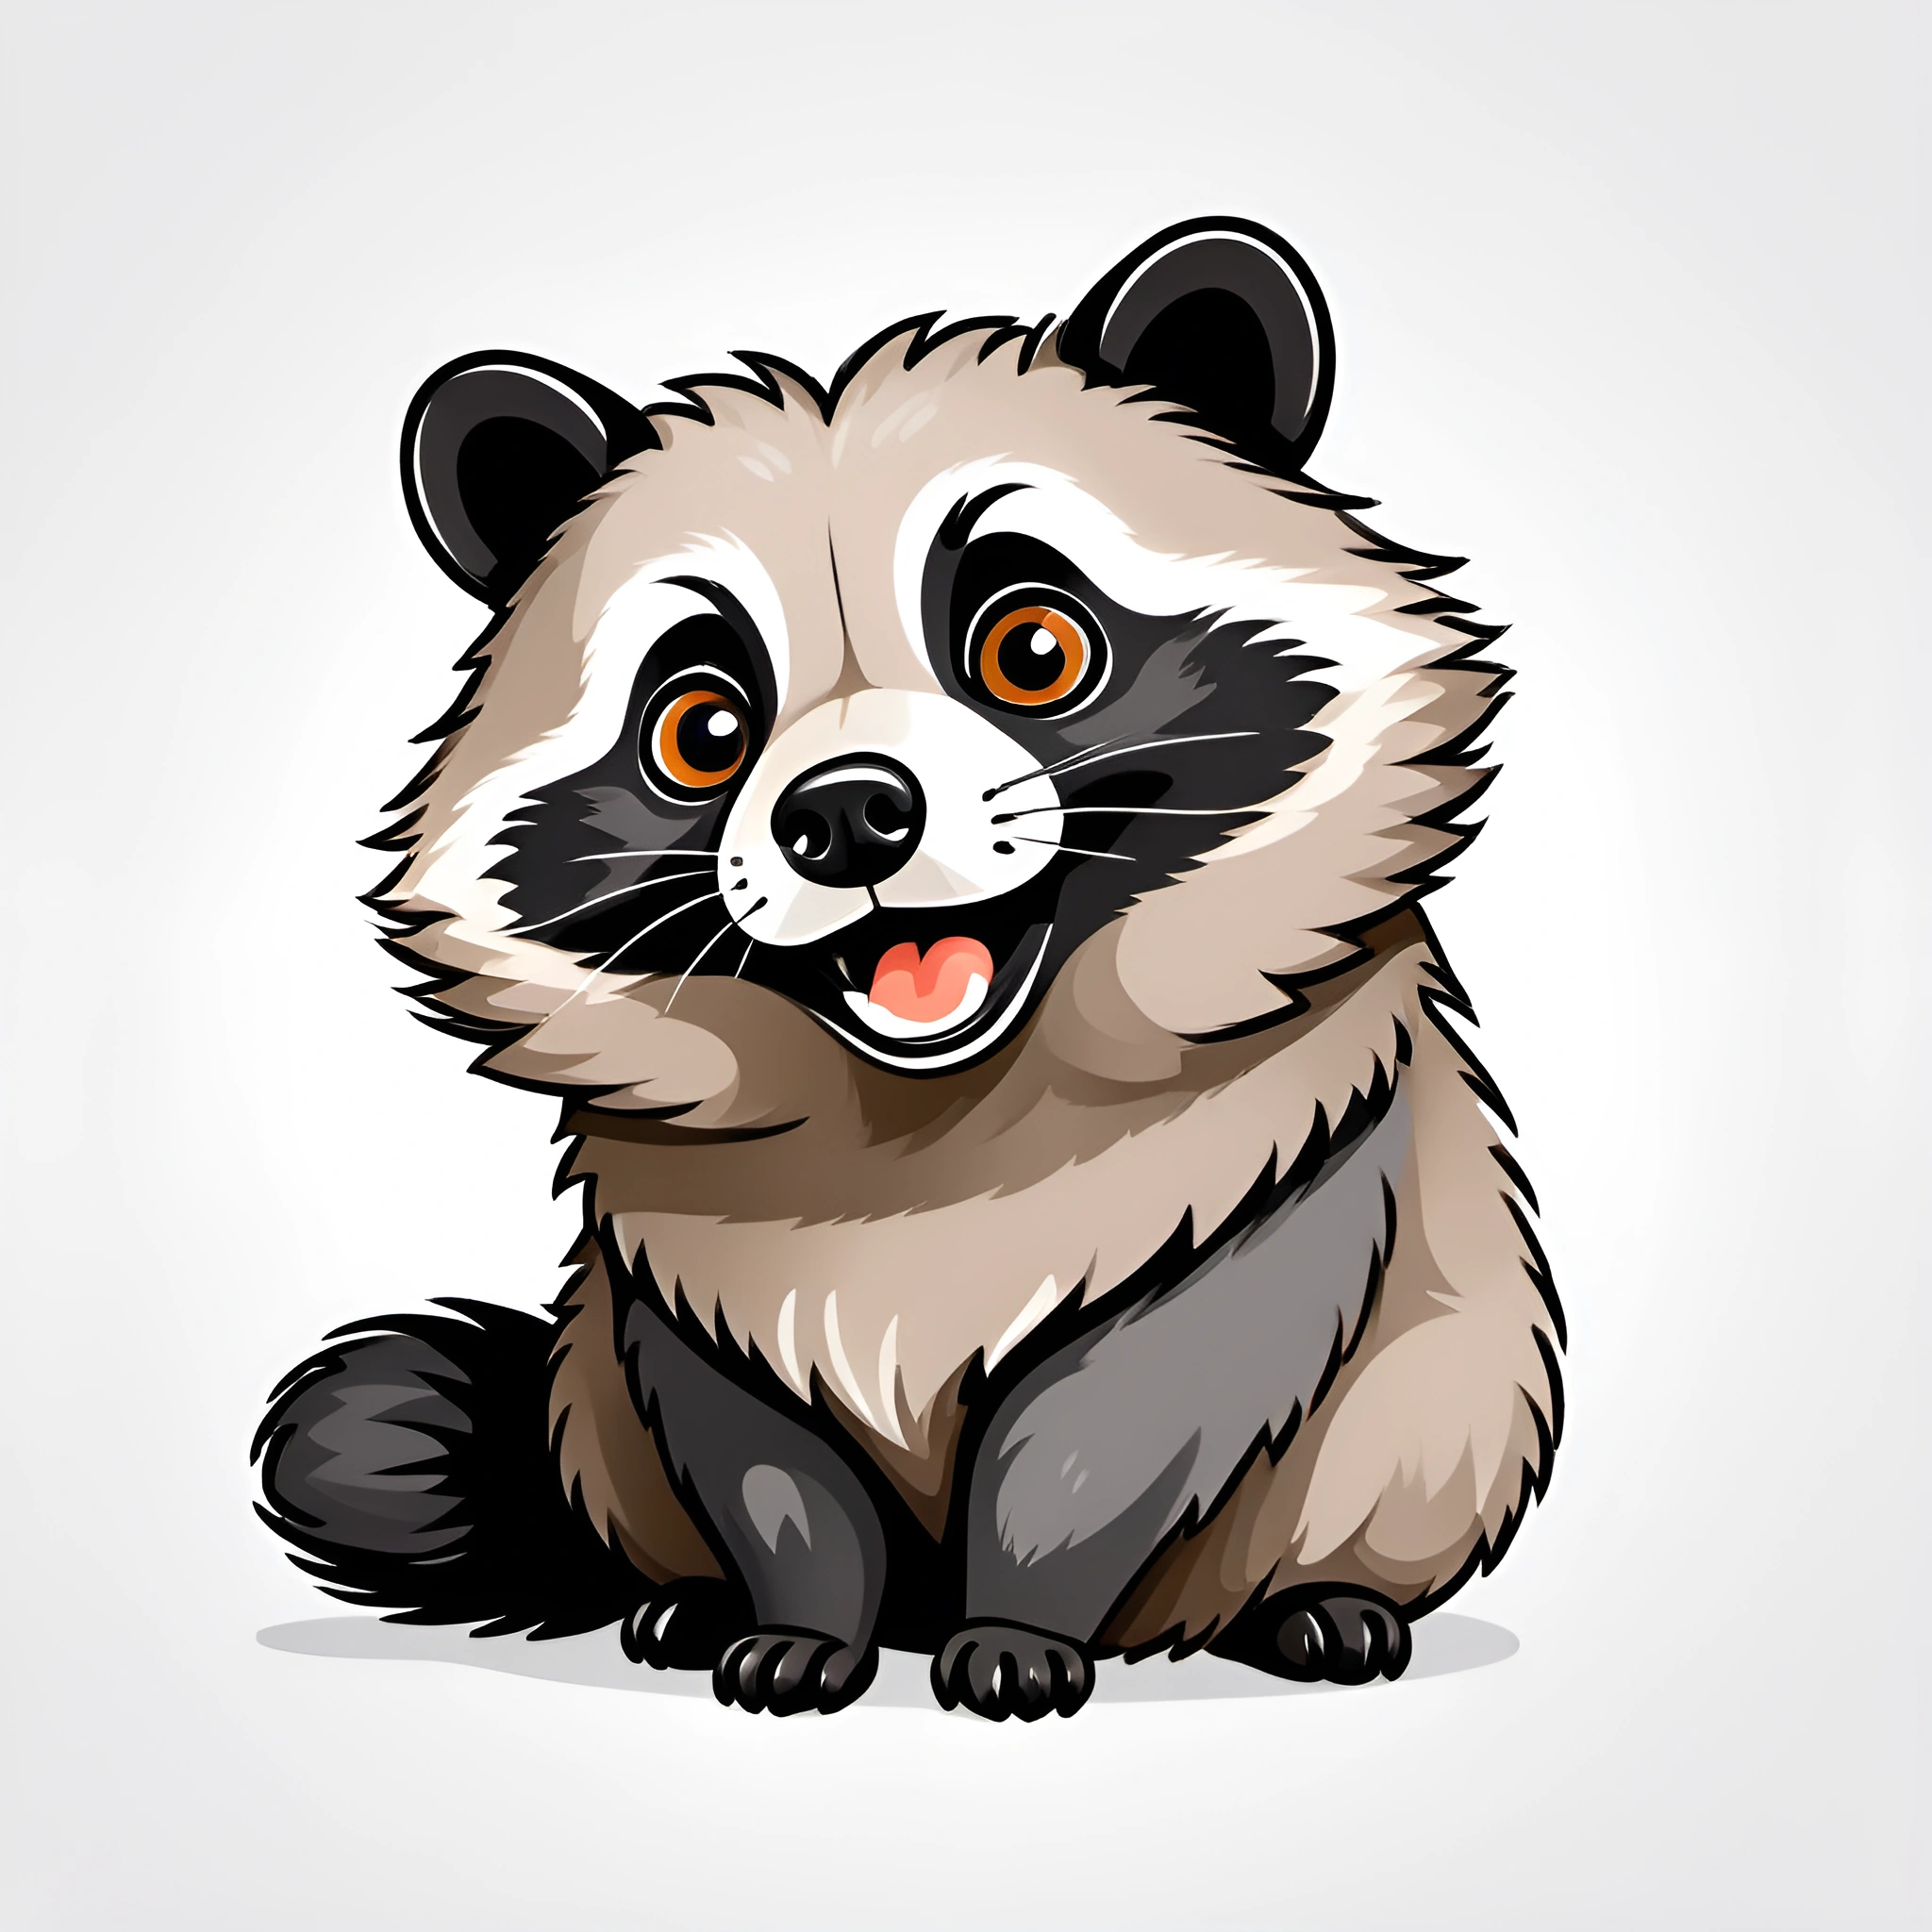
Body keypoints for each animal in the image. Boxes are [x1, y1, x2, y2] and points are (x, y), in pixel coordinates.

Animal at [254, 219, 1563, 1720]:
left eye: (1034, 649)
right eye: (700, 728)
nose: (847, 815)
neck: (931, 1128)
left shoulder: (1276, 1172)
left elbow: (1106, 1434)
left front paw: (1017, 1630)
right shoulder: (675, 1269)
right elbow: (767, 1462)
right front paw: (795, 1626)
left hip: (1443, 1401)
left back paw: (1322, 1610)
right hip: (592, 1410)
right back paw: (686, 1606)